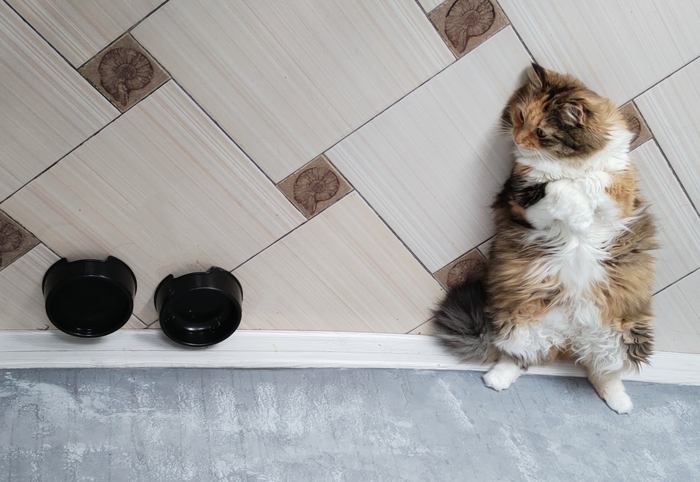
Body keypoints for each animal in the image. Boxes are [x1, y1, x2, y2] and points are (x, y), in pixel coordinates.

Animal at [434, 63, 658, 414]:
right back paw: (495, 380)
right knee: (519, 358)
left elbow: (597, 180)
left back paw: (620, 403)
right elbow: (557, 187)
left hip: (618, 337)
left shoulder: (620, 196)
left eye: (541, 132)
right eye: (520, 117)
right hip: (522, 326)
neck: (570, 162)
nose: (517, 138)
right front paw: (578, 216)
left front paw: (583, 211)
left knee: (601, 372)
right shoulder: (522, 197)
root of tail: (569, 337)